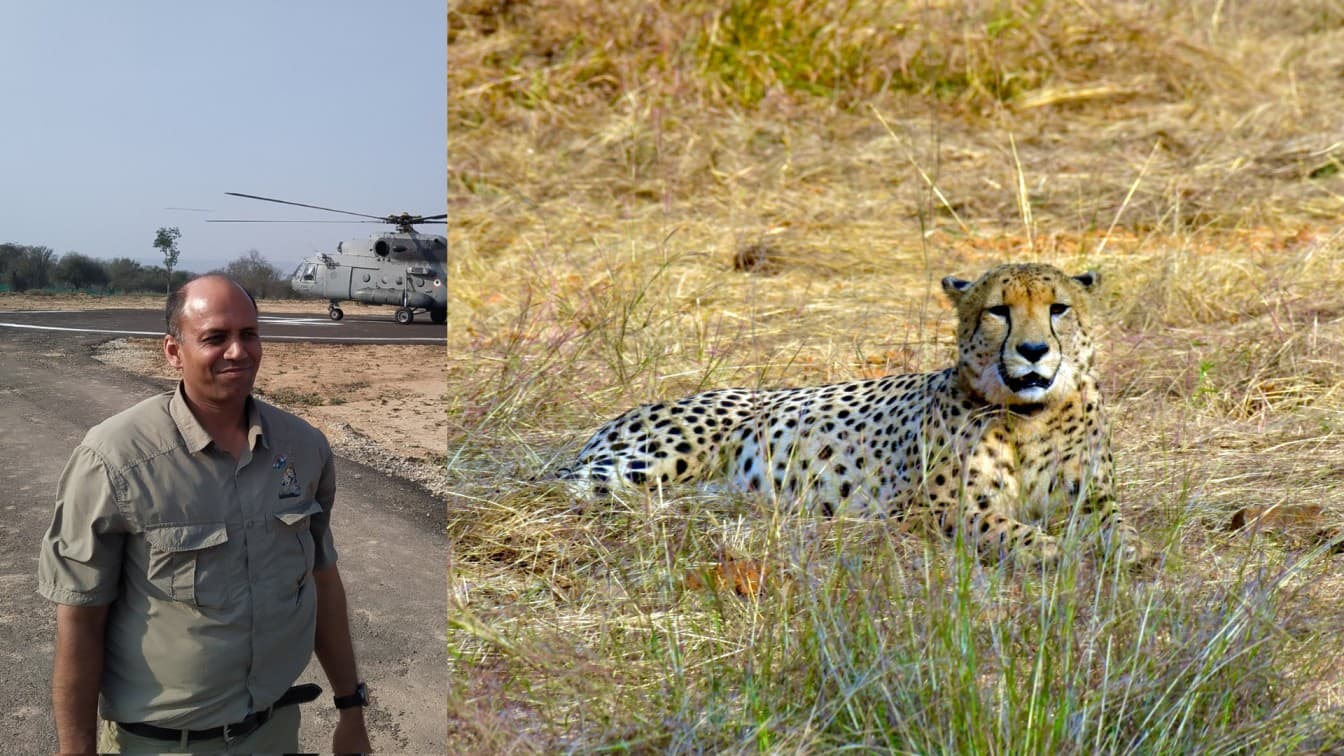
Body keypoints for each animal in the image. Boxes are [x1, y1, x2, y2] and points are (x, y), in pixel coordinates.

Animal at [556, 263, 1148, 567]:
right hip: (648, 462)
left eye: (1058, 308)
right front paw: (1050, 549)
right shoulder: (932, 509)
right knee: (562, 489)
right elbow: (1005, 528)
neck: (1030, 415)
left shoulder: (1092, 496)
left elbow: (1117, 527)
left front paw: (1128, 551)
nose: (1032, 351)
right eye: (998, 311)